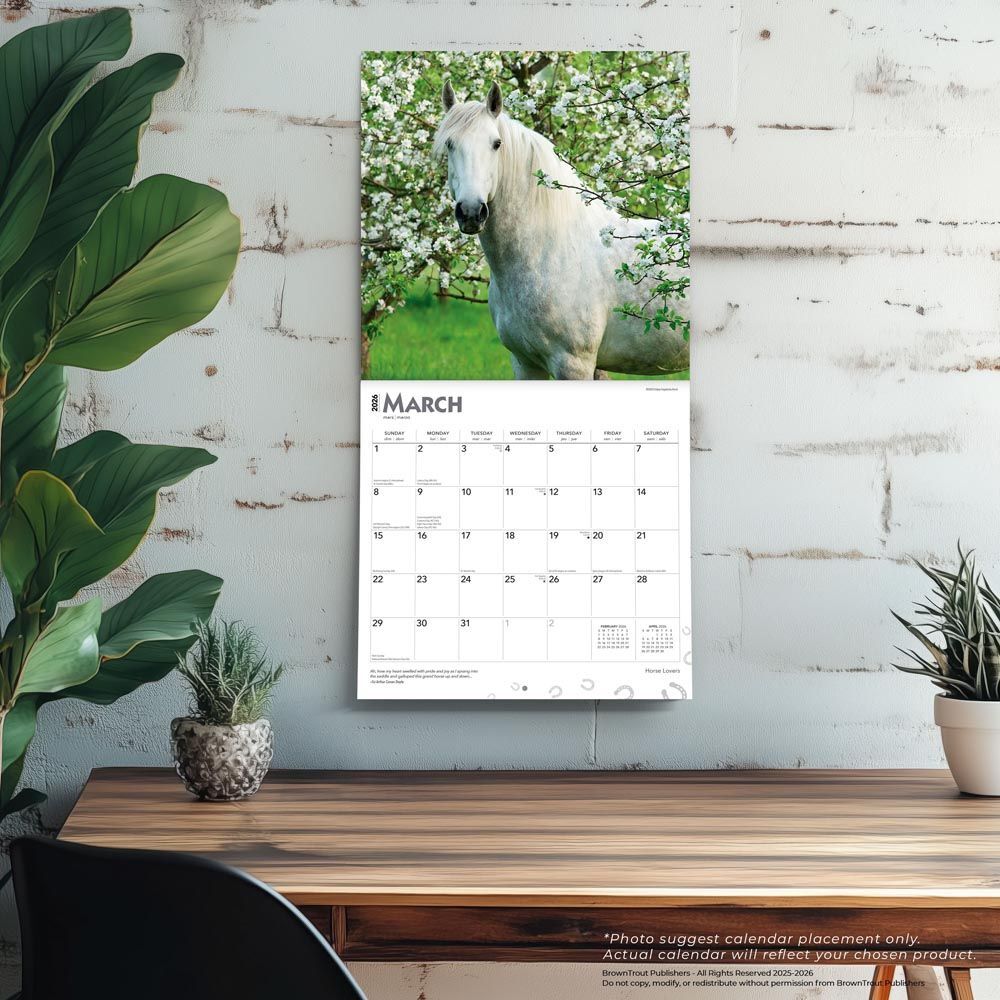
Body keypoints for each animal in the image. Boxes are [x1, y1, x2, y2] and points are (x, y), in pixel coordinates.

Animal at [433, 80, 689, 381]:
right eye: (450, 144)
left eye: (496, 144)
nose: (472, 212)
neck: (545, 251)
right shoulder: (524, 364)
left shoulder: (573, 365)